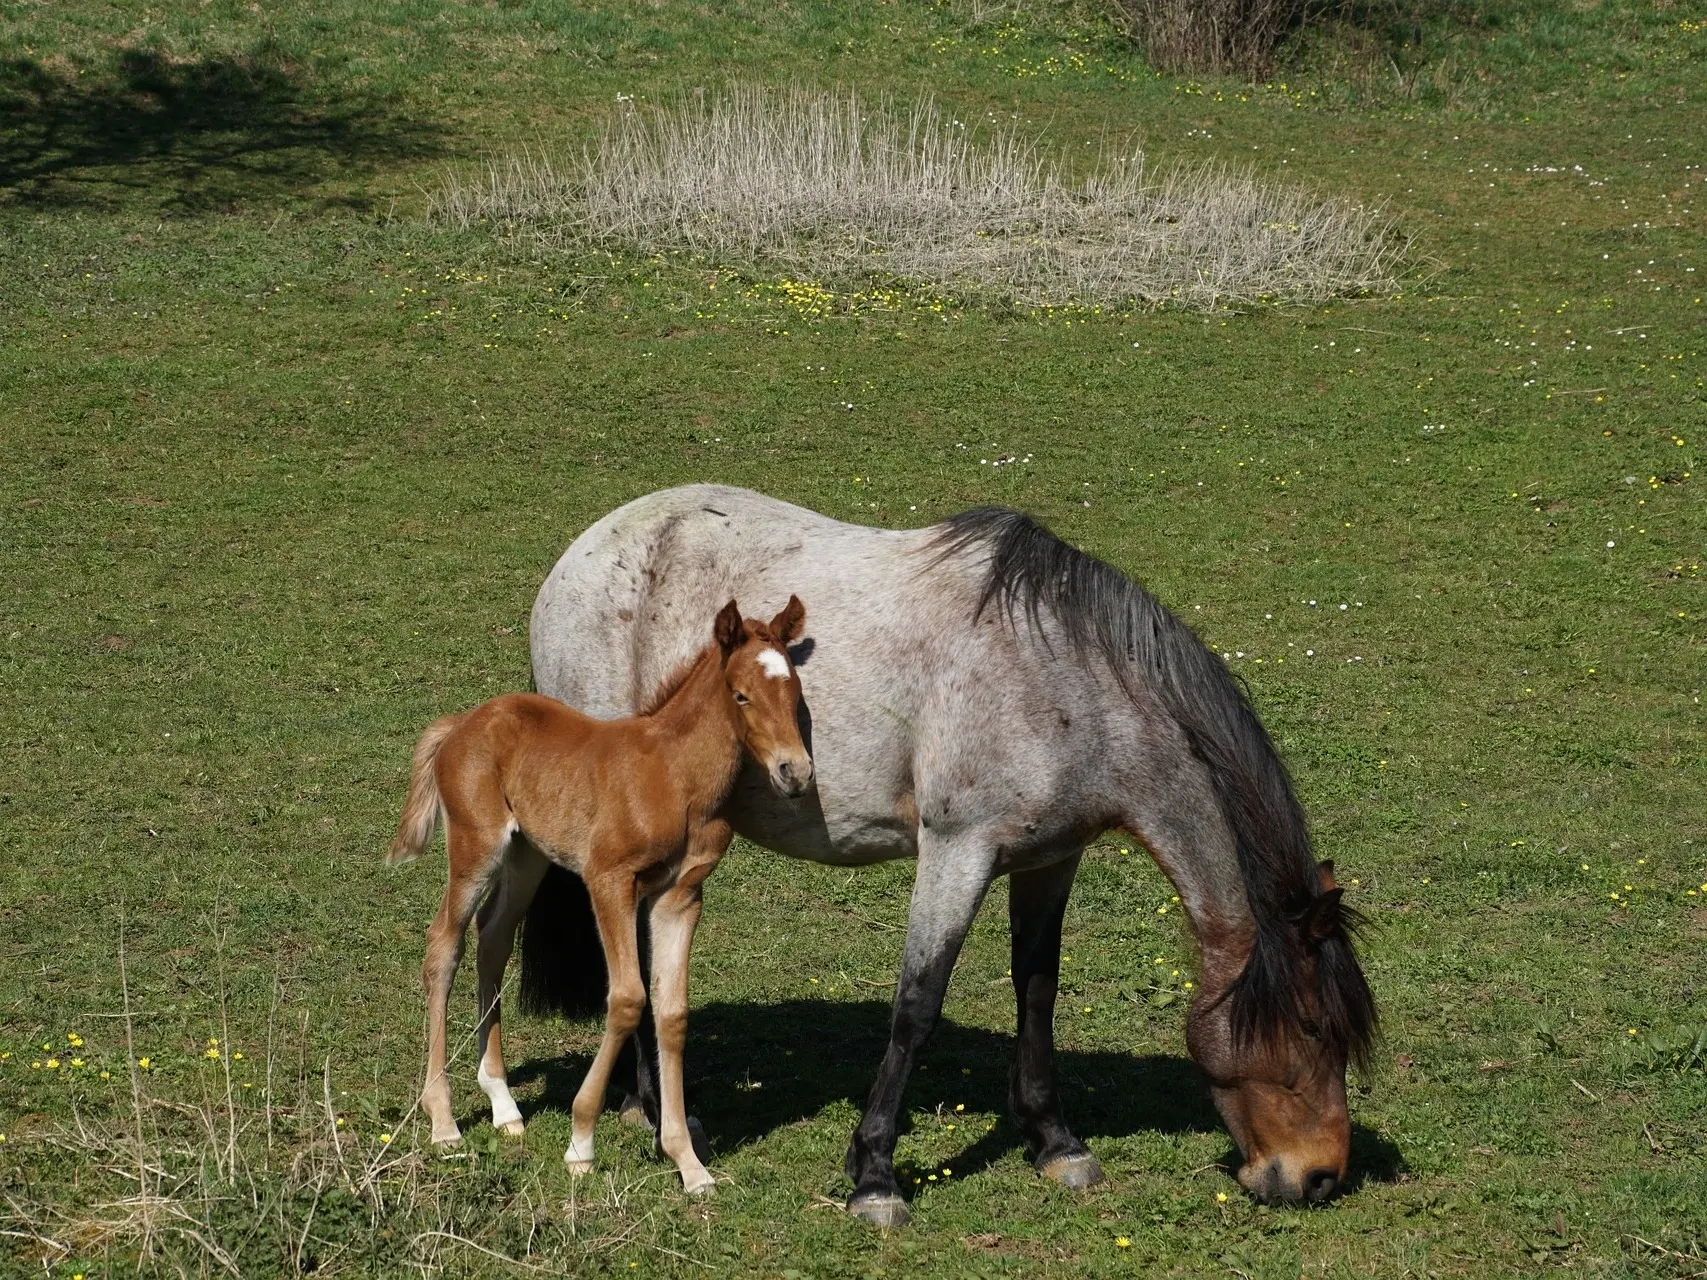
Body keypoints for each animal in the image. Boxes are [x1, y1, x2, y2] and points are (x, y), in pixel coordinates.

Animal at [389, 597, 812, 1201]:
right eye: (740, 695)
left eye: (794, 690)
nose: (794, 772)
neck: (675, 776)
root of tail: (461, 723)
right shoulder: (609, 880)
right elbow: (629, 998)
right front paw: (581, 1142)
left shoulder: (681, 896)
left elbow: (672, 1012)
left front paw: (688, 1163)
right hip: (476, 846)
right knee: (443, 945)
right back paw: (444, 1122)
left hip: (527, 855)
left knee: (492, 937)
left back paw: (502, 1103)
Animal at [501, 484, 1372, 1228]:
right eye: (1309, 1026)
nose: (1319, 1177)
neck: (1065, 680)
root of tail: (579, 556)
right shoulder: (958, 852)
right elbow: (916, 1006)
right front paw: (874, 1177)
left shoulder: (1049, 859)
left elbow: (1036, 989)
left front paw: (1055, 1142)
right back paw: (667, 1122)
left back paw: (645, 1107)